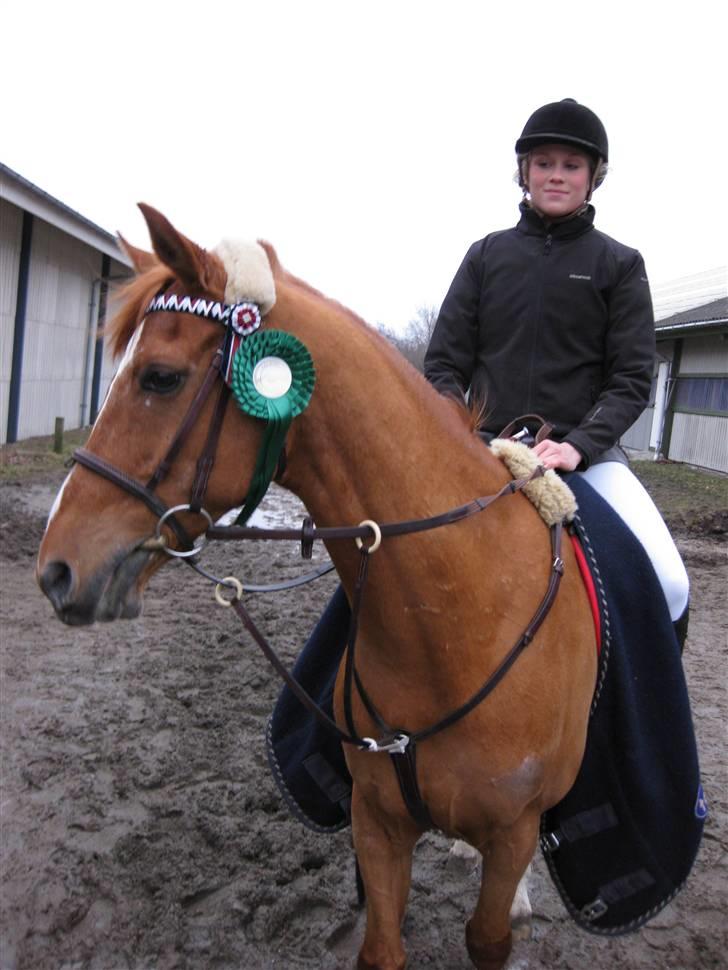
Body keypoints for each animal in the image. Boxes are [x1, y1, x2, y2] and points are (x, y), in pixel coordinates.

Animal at [35, 206, 596, 968]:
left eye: (159, 378)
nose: (55, 570)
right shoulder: (376, 822)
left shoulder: (510, 835)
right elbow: (382, 948)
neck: (459, 619)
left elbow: (489, 935)